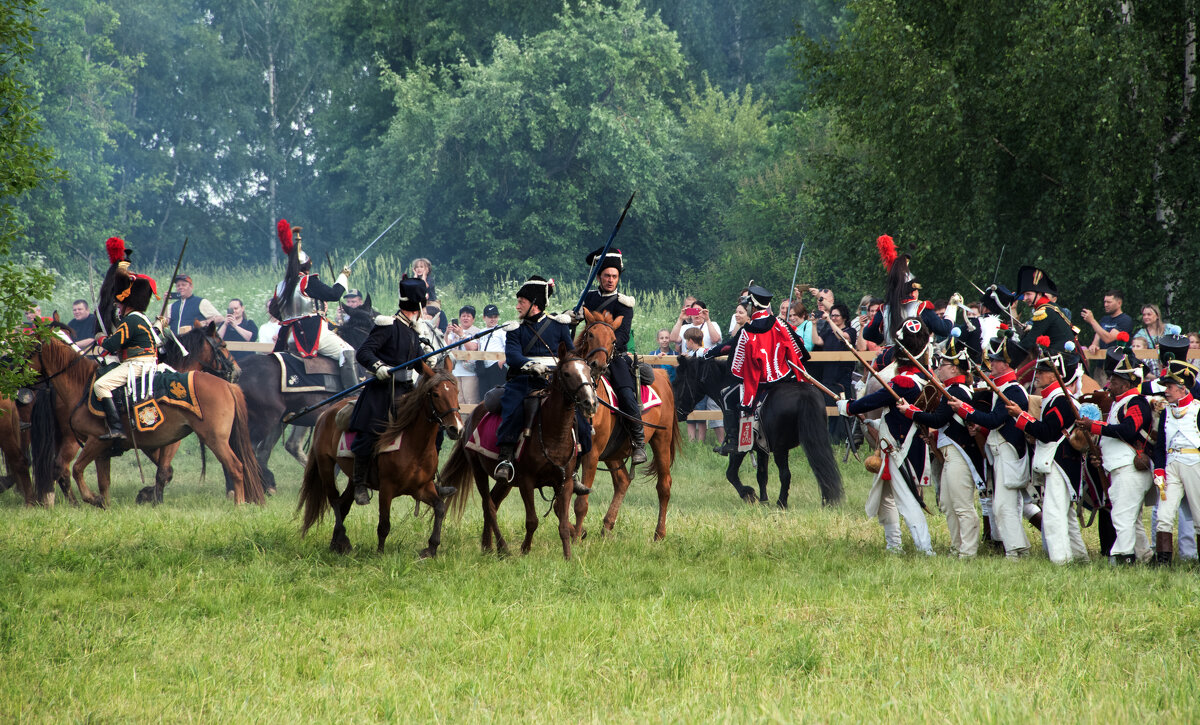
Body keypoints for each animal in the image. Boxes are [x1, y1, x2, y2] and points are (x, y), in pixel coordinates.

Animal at [25, 336, 265, 506]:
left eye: (29, 353)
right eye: (221, 345)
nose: (237, 371)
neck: (83, 386)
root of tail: (226, 385)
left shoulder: (98, 442)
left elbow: (80, 470)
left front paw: (97, 499)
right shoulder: (103, 448)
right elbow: (104, 482)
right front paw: (105, 504)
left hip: (216, 439)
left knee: (236, 467)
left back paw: (239, 504)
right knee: (61, 469)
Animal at [298, 360, 463, 556]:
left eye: (456, 392)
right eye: (436, 394)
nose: (456, 429)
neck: (414, 445)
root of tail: (326, 413)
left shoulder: (422, 488)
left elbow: (439, 507)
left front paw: (431, 548)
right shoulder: (387, 488)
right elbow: (384, 524)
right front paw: (380, 553)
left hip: (353, 477)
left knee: (344, 504)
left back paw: (335, 544)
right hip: (326, 465)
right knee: (334, 501)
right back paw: (343, 540)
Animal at [446, 345, 600, 561]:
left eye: (587, 371)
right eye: (567, 373)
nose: (590, 403)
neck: (554, 433)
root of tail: (471, 416)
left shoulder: (565, 482)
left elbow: (562, 521)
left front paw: (568, 556)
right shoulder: (527, 481)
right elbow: (532, 520)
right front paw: (525, 551)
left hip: (506, 482)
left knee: (492, 503)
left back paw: (487, 547)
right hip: (478, 470)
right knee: (489, 506)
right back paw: (502, 548)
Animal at [568, 309, 681, 540]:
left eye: (613, 340)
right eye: (590, 334)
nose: (598, 365)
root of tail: (662, 375)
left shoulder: (592, 455)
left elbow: (581, 503)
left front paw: (574, 539)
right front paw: (574, 531)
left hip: (661, 441)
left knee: (664, 485)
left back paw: (659, 533)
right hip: (614, 451)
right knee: (622, 481)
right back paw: (607, 526)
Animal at [672, 352, 840, 506]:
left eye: (677, 382)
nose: (676, 412)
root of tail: (805, 394)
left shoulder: (741, 446)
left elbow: (731, 473)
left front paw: (749, 494)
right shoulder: (762, 447)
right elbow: (762, 475)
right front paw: (763, 500)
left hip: (781, 448)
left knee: (786, 474)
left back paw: (781, 503)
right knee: (821, 467)